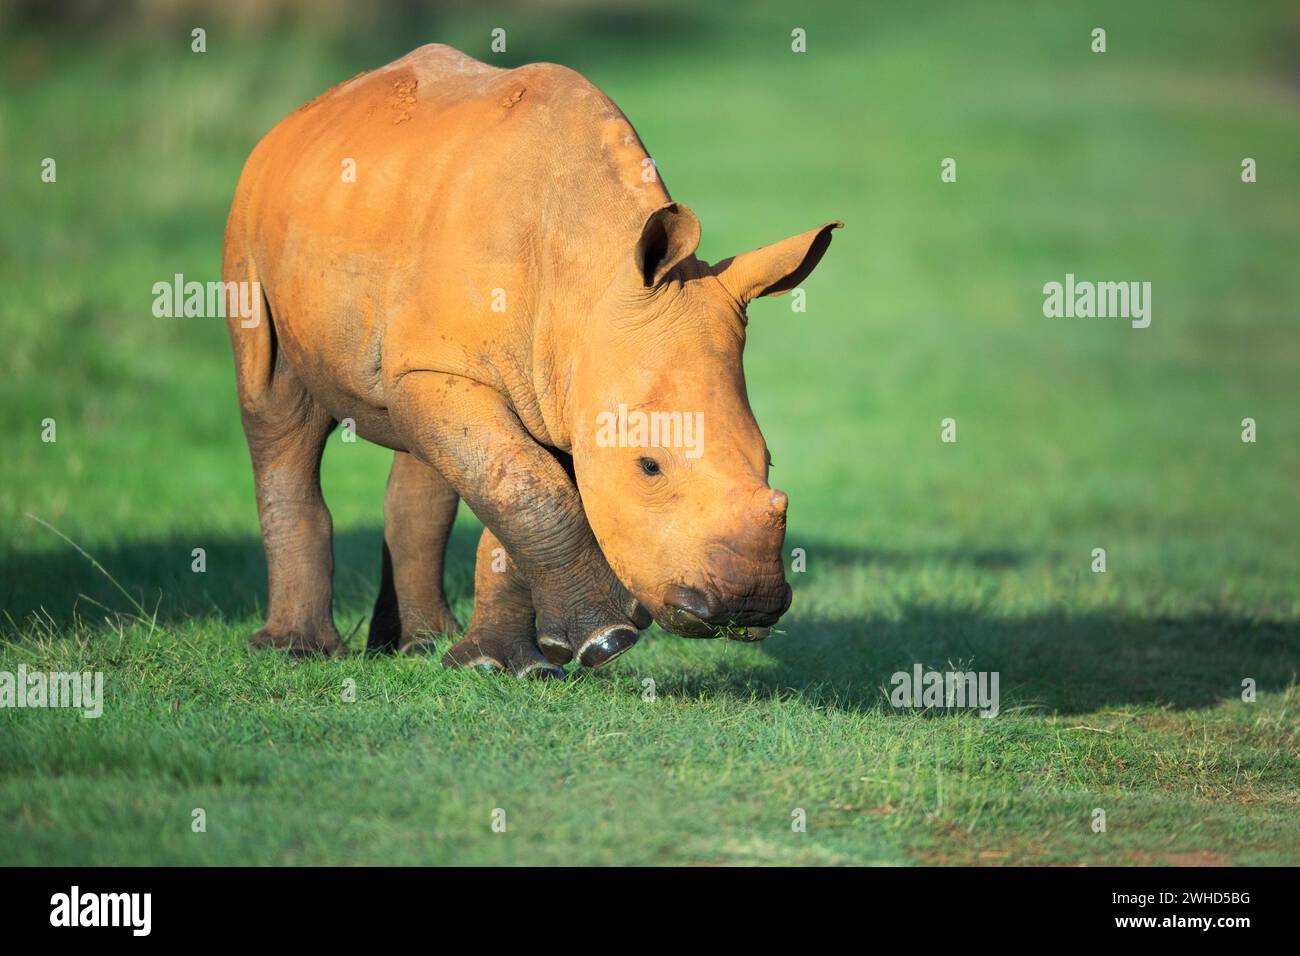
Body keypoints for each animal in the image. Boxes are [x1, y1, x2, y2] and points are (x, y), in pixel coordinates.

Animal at [223, 42, 842, 671]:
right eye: (649, 465)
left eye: (768, 461)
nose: (747, 605)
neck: (592, 274)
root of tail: (302, 115)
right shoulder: (496, 370)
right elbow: (527, 486)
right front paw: (608, 638)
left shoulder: (566, 383)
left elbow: (518, 490)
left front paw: (508, 662)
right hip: (251, 217)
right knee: (276, 406)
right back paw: (298, 651)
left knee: (419, 444)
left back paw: (421, 645)